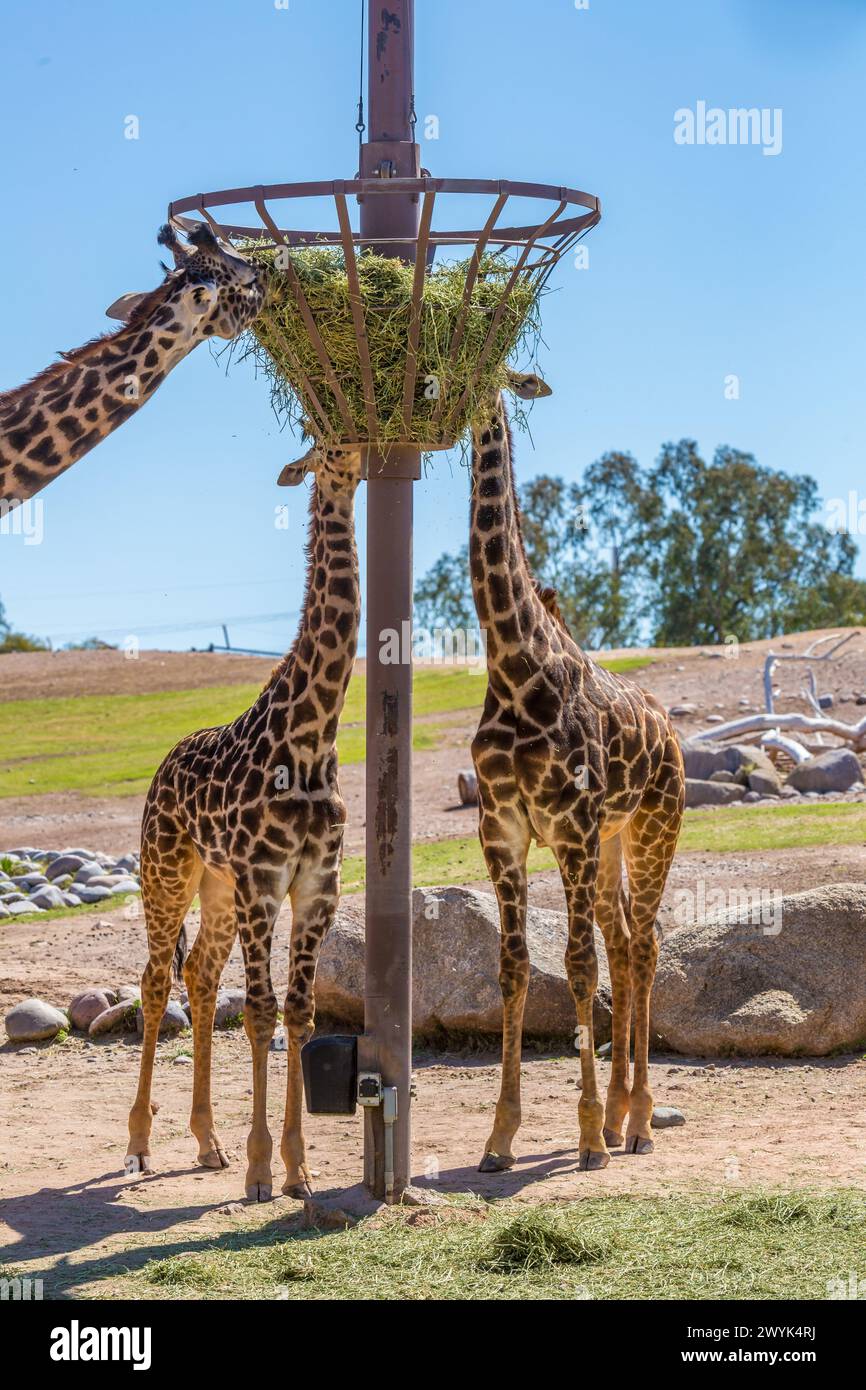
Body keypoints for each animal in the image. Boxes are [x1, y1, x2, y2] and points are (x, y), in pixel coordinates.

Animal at [125, 442, 361, 1195]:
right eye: (325, 442)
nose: (359, 456)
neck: (313, 735)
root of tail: (161, 768)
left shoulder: (315, 885)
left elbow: (299, 1014)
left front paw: (298, 1170)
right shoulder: (264, 881)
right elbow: (260, 1014)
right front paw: (263, 1170)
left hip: (218, 888)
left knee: (200, 976)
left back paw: (207, 1142)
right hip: (167, 874)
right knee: (156, 981)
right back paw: (139, 1143)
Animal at [467, 369, 683, 1173]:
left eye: (499, 373)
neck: (513, 663)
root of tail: (674, 733)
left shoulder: (570, 826)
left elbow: (577, 965)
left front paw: (586, 1133)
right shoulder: (503, 829)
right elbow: (517, 967)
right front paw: (499, 1136)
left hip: (651, 827)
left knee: (642, 943)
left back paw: (637, 1121)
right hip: (613, 839)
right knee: (624, 942)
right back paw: (623, 1115)